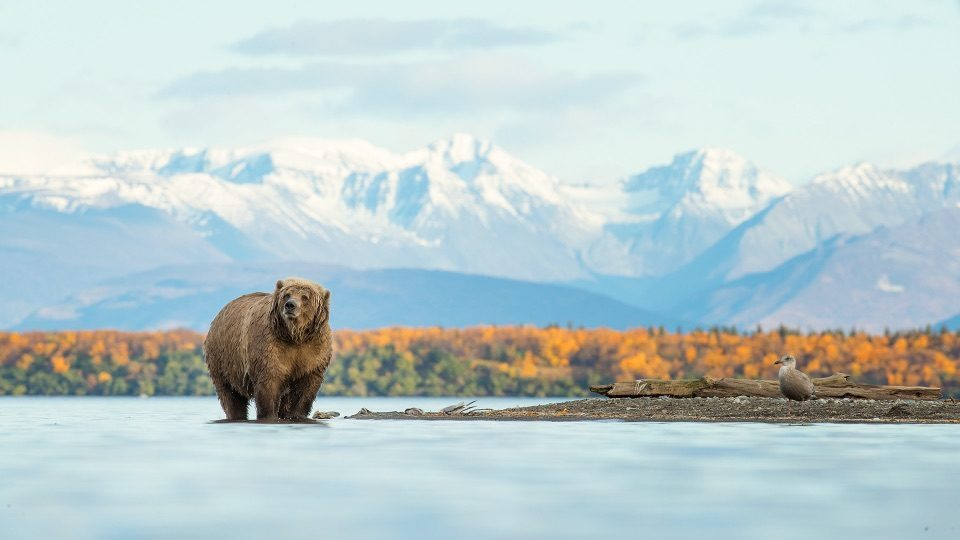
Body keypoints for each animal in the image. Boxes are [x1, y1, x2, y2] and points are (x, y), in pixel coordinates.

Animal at [203, 278, 334, 422]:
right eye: (287, 295)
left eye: (305, 297)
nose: (290, 305)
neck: (294, 336)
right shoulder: (270, 344)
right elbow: (269, 380)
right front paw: (269, 415)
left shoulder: (314, 349)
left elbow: (306, 385)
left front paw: (297, 415)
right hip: (224, 360)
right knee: (230, 394)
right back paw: (236, 415)